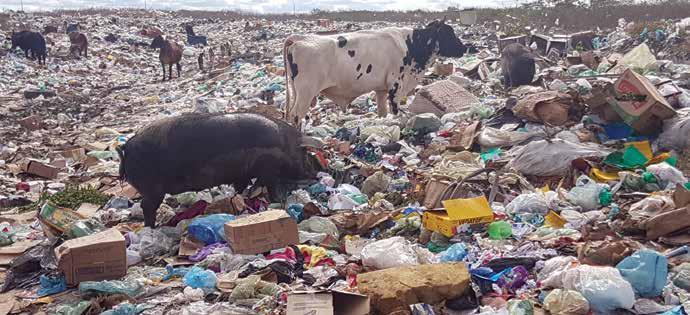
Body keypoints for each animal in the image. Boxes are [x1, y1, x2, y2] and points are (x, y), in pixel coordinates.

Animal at [117, 112, 324, 228]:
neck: (286, 146)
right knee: (146, 206)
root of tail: (127, 146)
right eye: (306, 156)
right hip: (152, 188)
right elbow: (269, 185)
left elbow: (240, 188)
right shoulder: (269, 169)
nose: (317, 175)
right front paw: (275, 200)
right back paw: (151, 227)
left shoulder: (242, 175)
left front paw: (241, 199)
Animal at [280, 19, 468, 126]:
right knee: (296, 115)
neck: (412, 45)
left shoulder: (381, 89)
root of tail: (299, 38)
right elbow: (394, 111)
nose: (465, 47)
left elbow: (382, 113)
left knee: (290, 114)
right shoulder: (395, 85)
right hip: (306, 92)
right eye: (448, 33)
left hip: (296, 92)